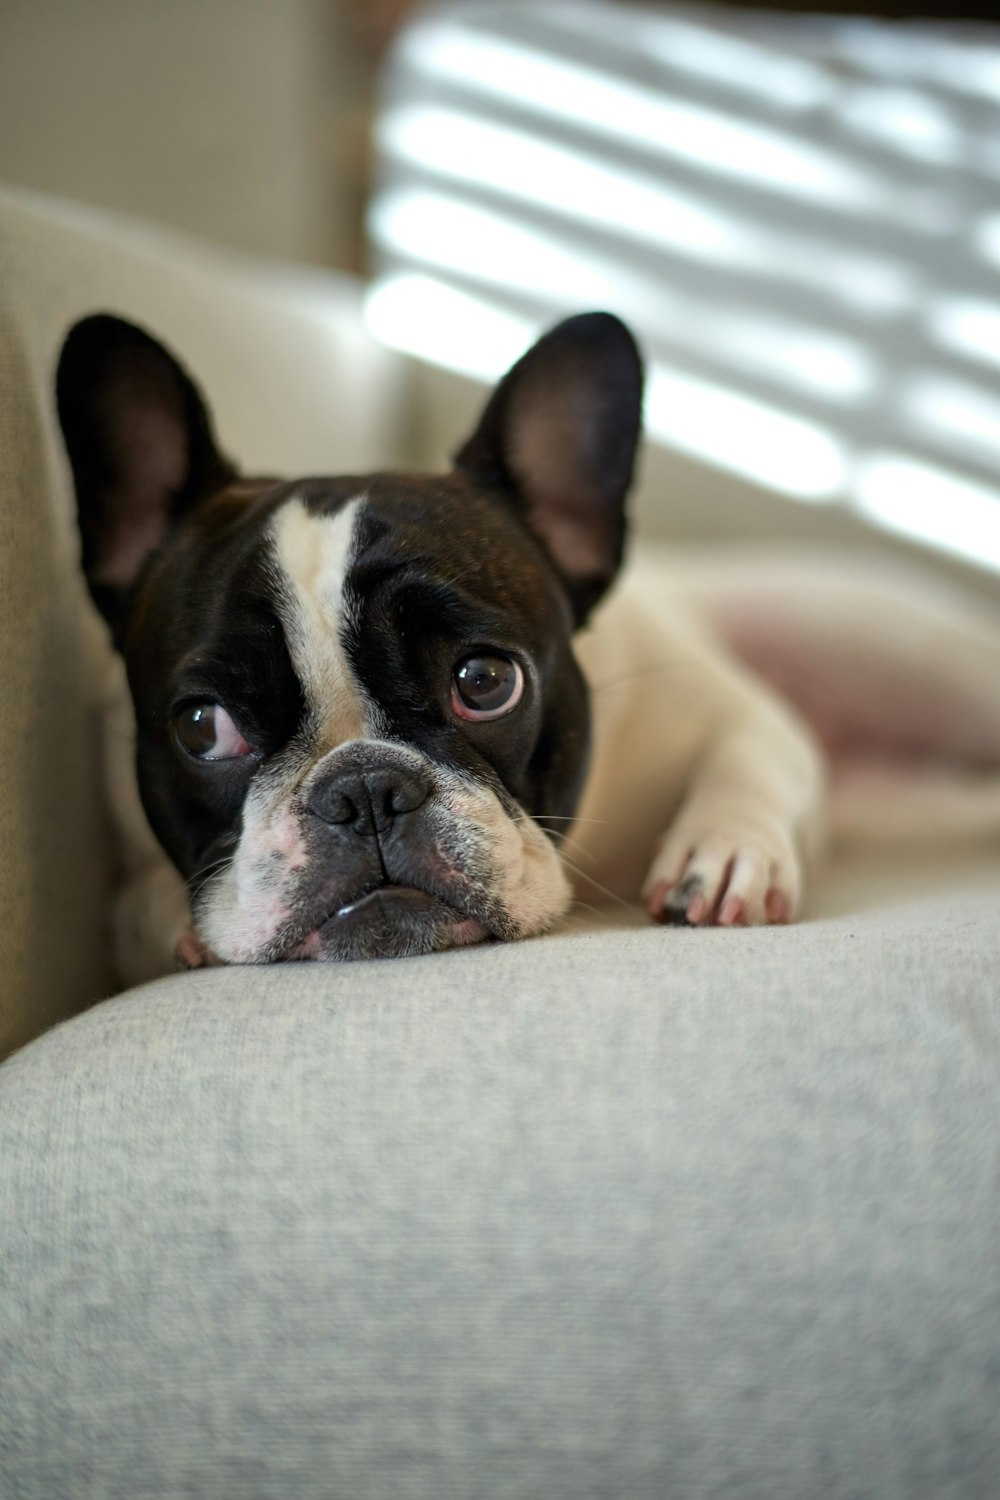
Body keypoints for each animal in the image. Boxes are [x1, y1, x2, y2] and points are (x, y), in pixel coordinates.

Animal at [56, 309, 1000, 978]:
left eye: (484, 681)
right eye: (201, 727)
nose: (364, 790)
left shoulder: (732, 710)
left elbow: (753, 754)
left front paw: (728, 854)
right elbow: (132, 904)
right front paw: (174, 915)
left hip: (902, 652)